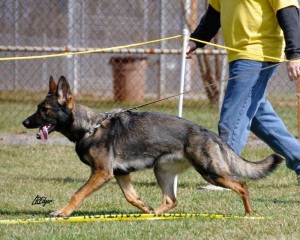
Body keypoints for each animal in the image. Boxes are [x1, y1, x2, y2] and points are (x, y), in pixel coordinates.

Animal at [22, 76, 282, 217]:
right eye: (38, 108)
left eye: (44, 110)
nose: (24, 122)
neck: (90, 127)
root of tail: (208, 133)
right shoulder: (119, 174)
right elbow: (131, 197)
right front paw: (144, 208)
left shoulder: (102, 173)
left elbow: (77, 193)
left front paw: (63, 212)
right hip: (162, 171)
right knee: (171, 200)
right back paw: (154, 215)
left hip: (211, 172)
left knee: (241, 185)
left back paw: (249, 214)